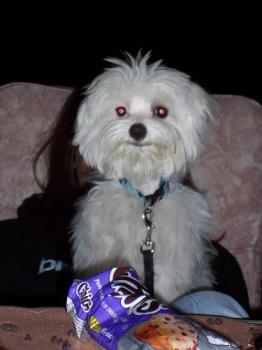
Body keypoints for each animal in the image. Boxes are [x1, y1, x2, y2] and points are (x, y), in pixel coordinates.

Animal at [71, 51, 215, 304]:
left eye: (161, 111)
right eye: (120, 111)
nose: (137, 129)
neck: (145, 195)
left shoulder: (171, 263)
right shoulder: (103, 249)